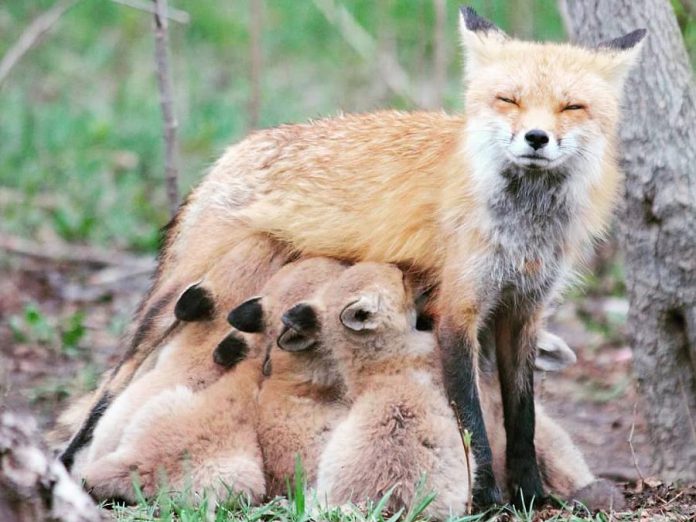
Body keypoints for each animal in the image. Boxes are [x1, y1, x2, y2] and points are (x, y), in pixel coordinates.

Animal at [62, 6, 644, 506]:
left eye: (572, 106)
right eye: (509, 100)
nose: (536, 138)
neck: (525, 226)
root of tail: (233, 151)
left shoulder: (524, 309)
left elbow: (522, 418)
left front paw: (531, 495)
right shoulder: (458, 309)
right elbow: (472, 426)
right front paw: (487, 500)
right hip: (167, 305)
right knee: (106, 393)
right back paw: (66, 470)